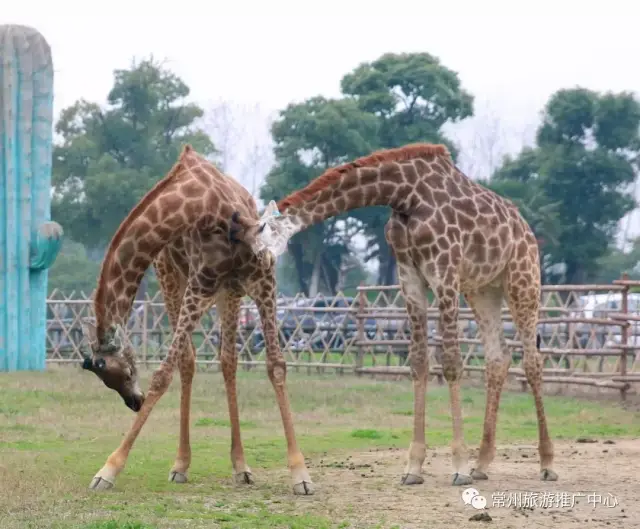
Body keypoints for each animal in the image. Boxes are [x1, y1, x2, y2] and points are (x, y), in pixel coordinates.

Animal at [80, 144, 316, 496]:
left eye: (121, 370)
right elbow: (164, 373)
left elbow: (275, 365)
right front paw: (109, 469)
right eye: (105, 376)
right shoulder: (200, 283)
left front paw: (301, 474)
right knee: (189, 360)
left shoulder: (262, 279)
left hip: (229, 292)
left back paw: (241, 466)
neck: (201, 203)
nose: (134, 402)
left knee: (228, 360)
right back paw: (181, 464)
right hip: (172, 277)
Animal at [232, 143, 556, 486]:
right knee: (498, 357)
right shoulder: (409, 277)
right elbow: (418, 362)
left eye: (263, 233)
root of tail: (527, 229)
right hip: (483, 289)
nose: (258, 265)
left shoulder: (445, 274)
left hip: (522, 278)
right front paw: (414, 467)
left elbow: (452, 363)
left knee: (533, 360)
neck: (405, 195)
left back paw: (547, 463)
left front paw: (458, 466)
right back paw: (482, 464)